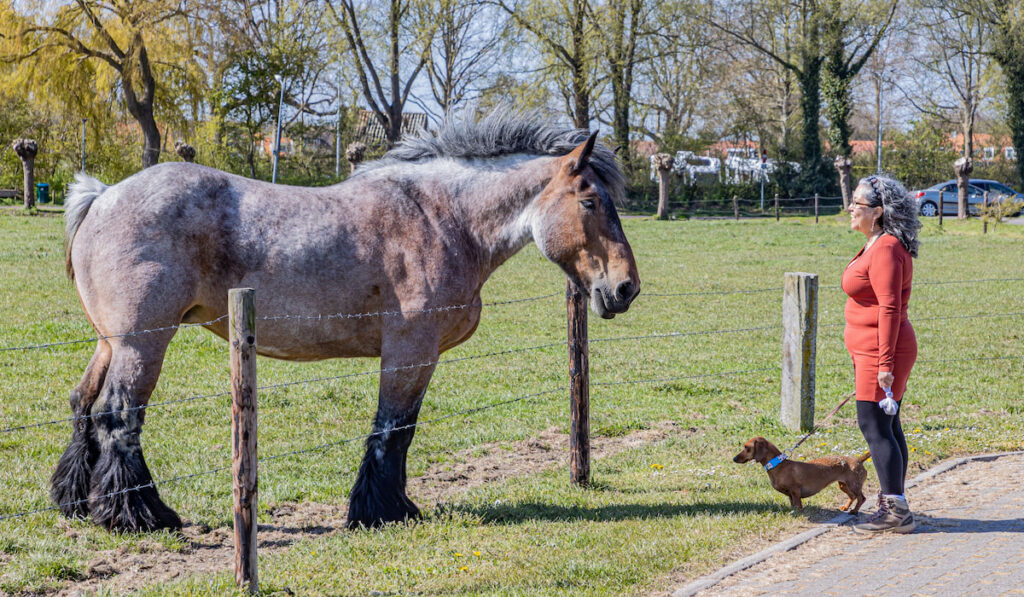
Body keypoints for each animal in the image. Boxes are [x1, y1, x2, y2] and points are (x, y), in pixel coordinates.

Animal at [56, 112, 638, 532]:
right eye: (590, 201)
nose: (625, 288)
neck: (441, 219)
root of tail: (102, 197)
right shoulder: (410, 351)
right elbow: (393, 429)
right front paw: (380, 512)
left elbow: (400, 431)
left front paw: (391, 506)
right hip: (142, 344)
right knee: (118, 417)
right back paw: (138, 515)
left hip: (110, 343)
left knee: (83, 404)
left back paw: (75, 500)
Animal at [733, 434, 868, 514]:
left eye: (747, 448)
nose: (734, 459)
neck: (778, 465)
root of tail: (858, 460)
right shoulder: (790, 495)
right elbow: (792, 504)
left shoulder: (795, 491)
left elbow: (798, 505)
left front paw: (798, 513)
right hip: (843, 485)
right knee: (852, 497)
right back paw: (845, 507)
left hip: (853, 485)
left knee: (861, 498)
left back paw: (854, 511)